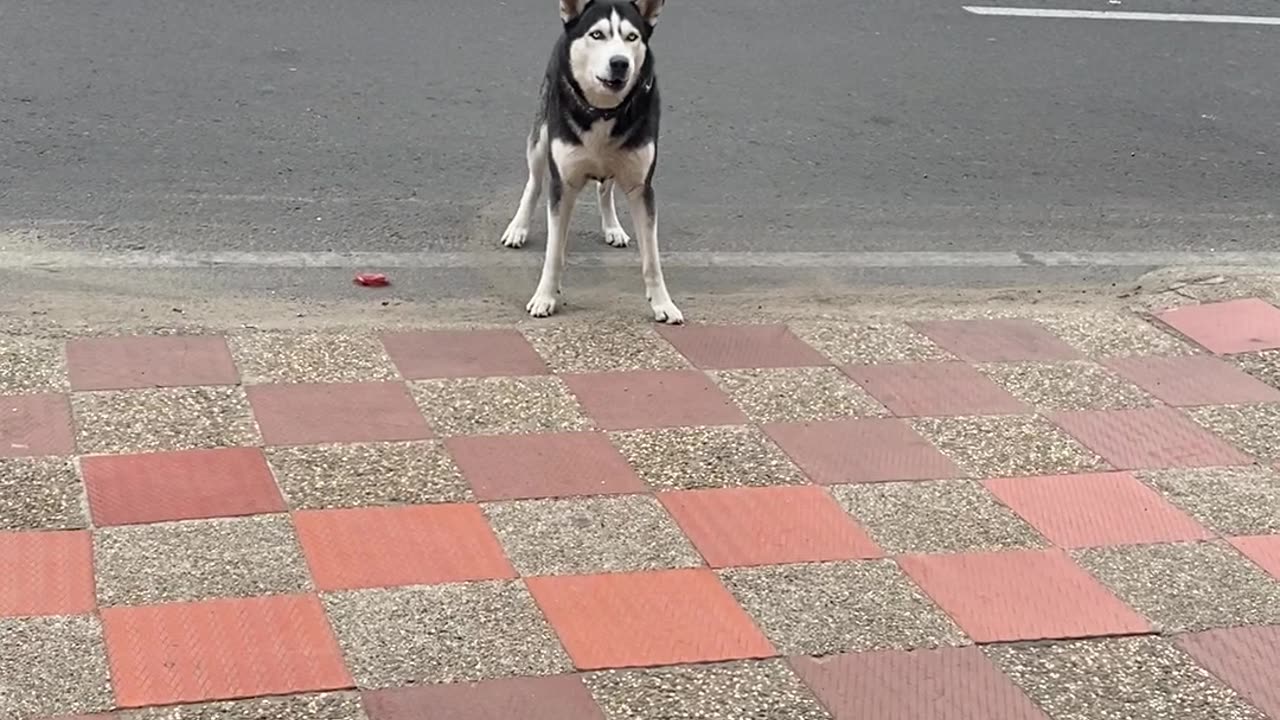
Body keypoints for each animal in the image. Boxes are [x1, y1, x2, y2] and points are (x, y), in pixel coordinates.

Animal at [499, 0, 686, 322]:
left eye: (632, 37)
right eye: (597, 35)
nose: (620, 63)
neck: (604, 111)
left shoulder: (641, 187)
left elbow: (651, 259)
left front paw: (663, 304)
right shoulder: (563, 183)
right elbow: (552, 253)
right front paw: (545, 296)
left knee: (604, 188)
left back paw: (612, 227)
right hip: (541, 137)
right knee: (534, 183)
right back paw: (518, 228)